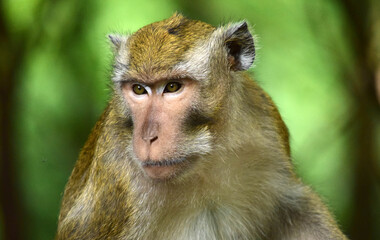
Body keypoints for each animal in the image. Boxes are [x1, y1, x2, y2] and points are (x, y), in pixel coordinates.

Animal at [55, 13, 348, 240]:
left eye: (173, 86)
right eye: (138, 89)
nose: (148, 137)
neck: (204, 159)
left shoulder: (265, 127)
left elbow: (297, 209)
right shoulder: (119, 187)